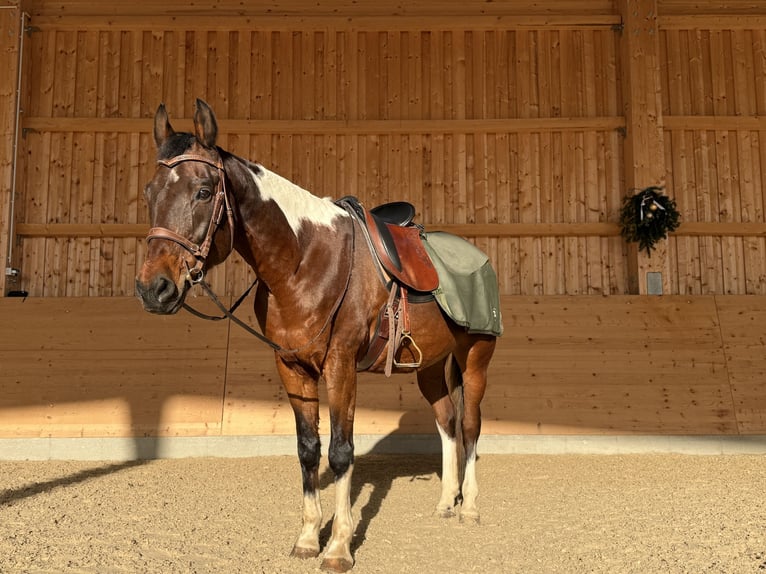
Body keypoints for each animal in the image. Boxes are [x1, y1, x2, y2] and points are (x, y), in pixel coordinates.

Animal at [135, 99, 499, 572]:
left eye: (203, 191)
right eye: (149, 192)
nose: (153, 289)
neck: (304, 261)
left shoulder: (340, 365)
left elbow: (341, 451)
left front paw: (339, 547)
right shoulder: (291, 366)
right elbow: (308, 448)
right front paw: (308, 538)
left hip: (476, 359)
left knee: (470, 425)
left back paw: (469, 507)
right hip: (430, 369)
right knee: (447, 423)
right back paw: (444, 503)